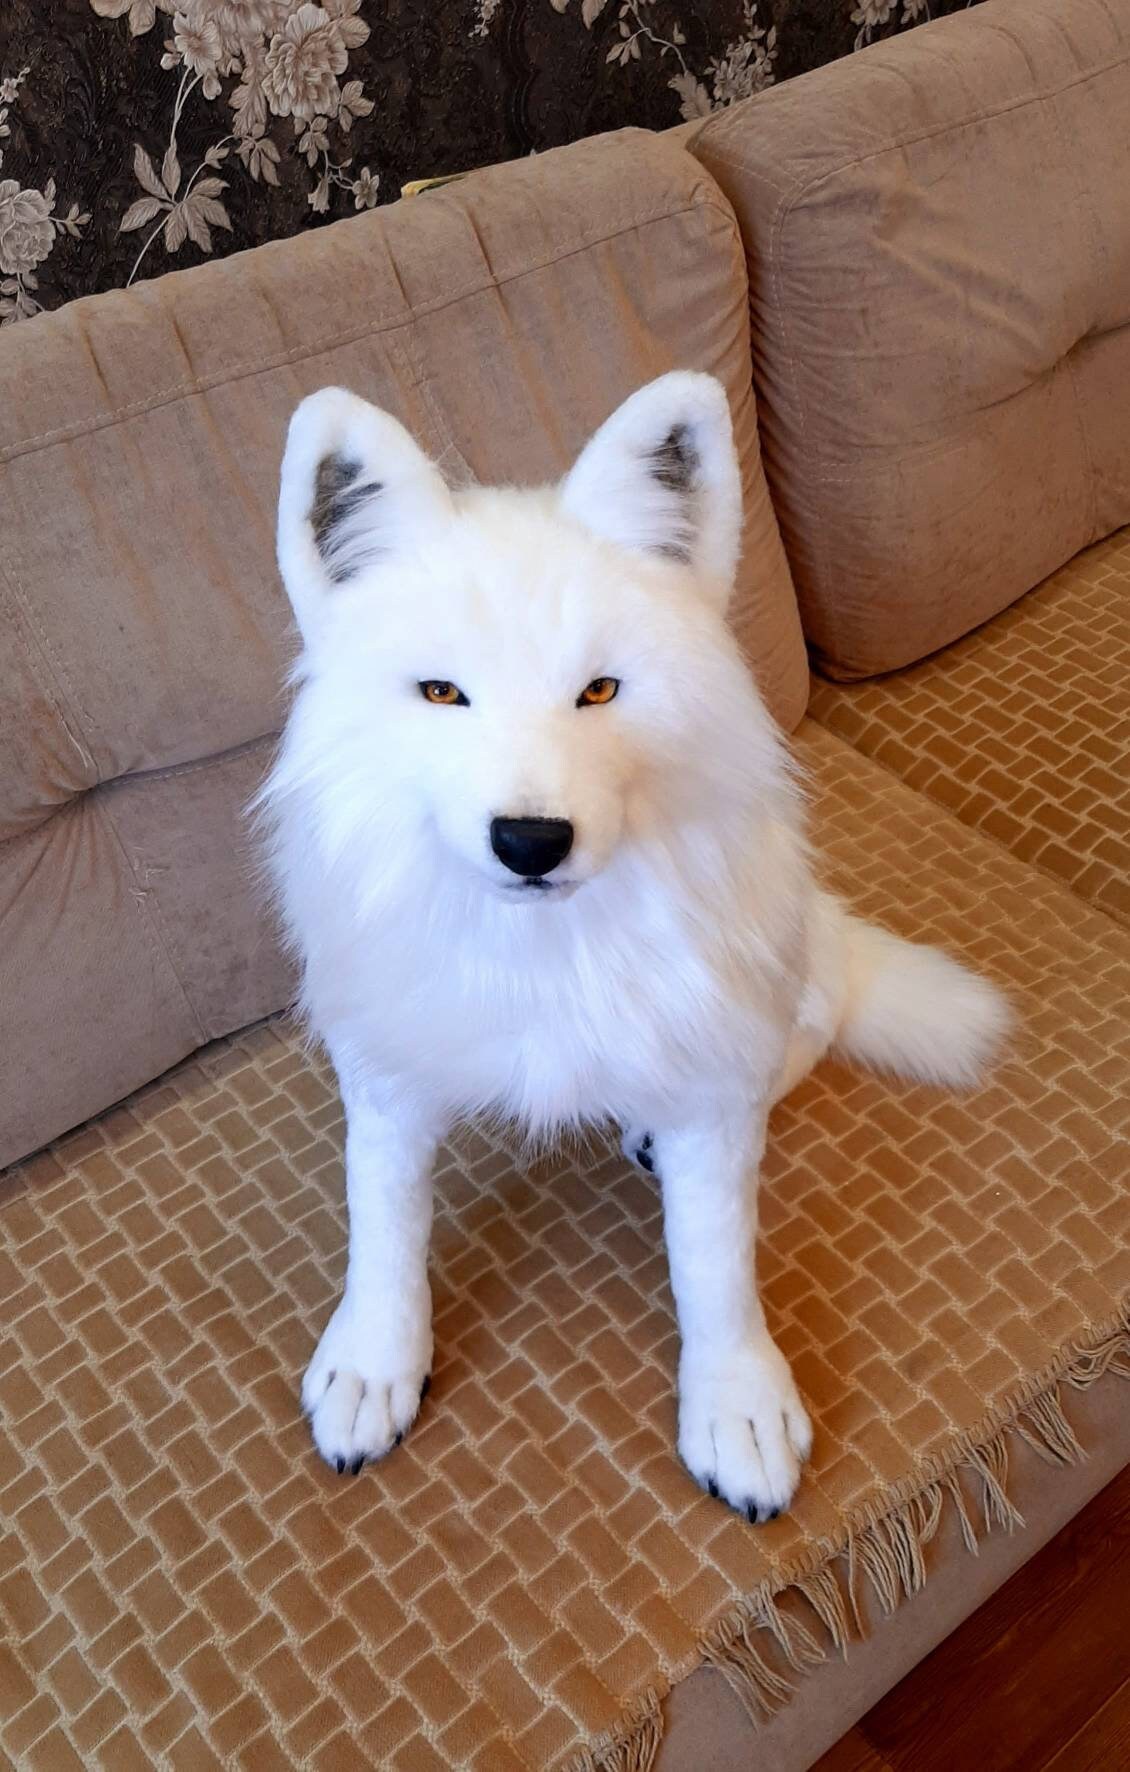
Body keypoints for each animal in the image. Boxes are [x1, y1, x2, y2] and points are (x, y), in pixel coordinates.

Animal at [258, 373, 1008, 1520]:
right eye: (442, 693)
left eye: (600, 691)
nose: (530, 841)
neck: (545, 952)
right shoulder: (386, 1076)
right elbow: (382, 1223)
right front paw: (375, 1362)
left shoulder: (711, 1091)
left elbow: (715, 1267)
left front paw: (736, 1406)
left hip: (778, 979)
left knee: (804, 1032)